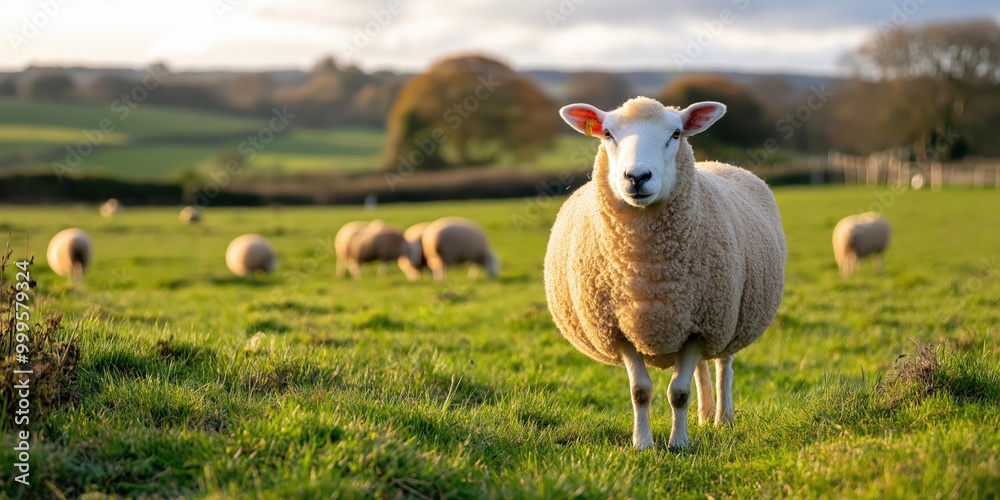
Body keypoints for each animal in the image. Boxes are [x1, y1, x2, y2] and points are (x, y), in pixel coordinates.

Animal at [544, 97, 787, 450]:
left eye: (676, 133)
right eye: (607, 133)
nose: (637, 176)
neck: (649, 277)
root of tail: (716, 162)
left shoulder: (702, 327)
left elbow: (679, 393)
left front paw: (678, 444)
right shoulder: (619, 330)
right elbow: (640, 391)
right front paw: (643, 443)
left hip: (729, 319)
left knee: (723, 364)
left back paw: (722, 419)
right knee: (702, 369)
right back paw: (704, 415)